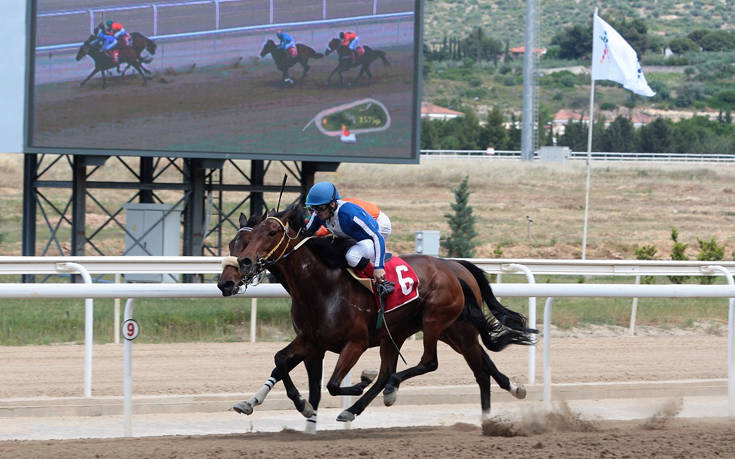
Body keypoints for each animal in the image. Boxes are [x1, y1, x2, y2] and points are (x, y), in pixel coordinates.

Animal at [216, 205, 536, 432]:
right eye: (234, 243)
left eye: (270, 233)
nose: (227, 280)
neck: (321, 286)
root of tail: (452, 267)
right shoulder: (311, 341)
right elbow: (283, 362)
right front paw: (260, 402)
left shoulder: (355, 342)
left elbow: (332, 384)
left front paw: (356, 383)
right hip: (440, 331)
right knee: (478, 366)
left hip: (437, 323)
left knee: (429, 363)